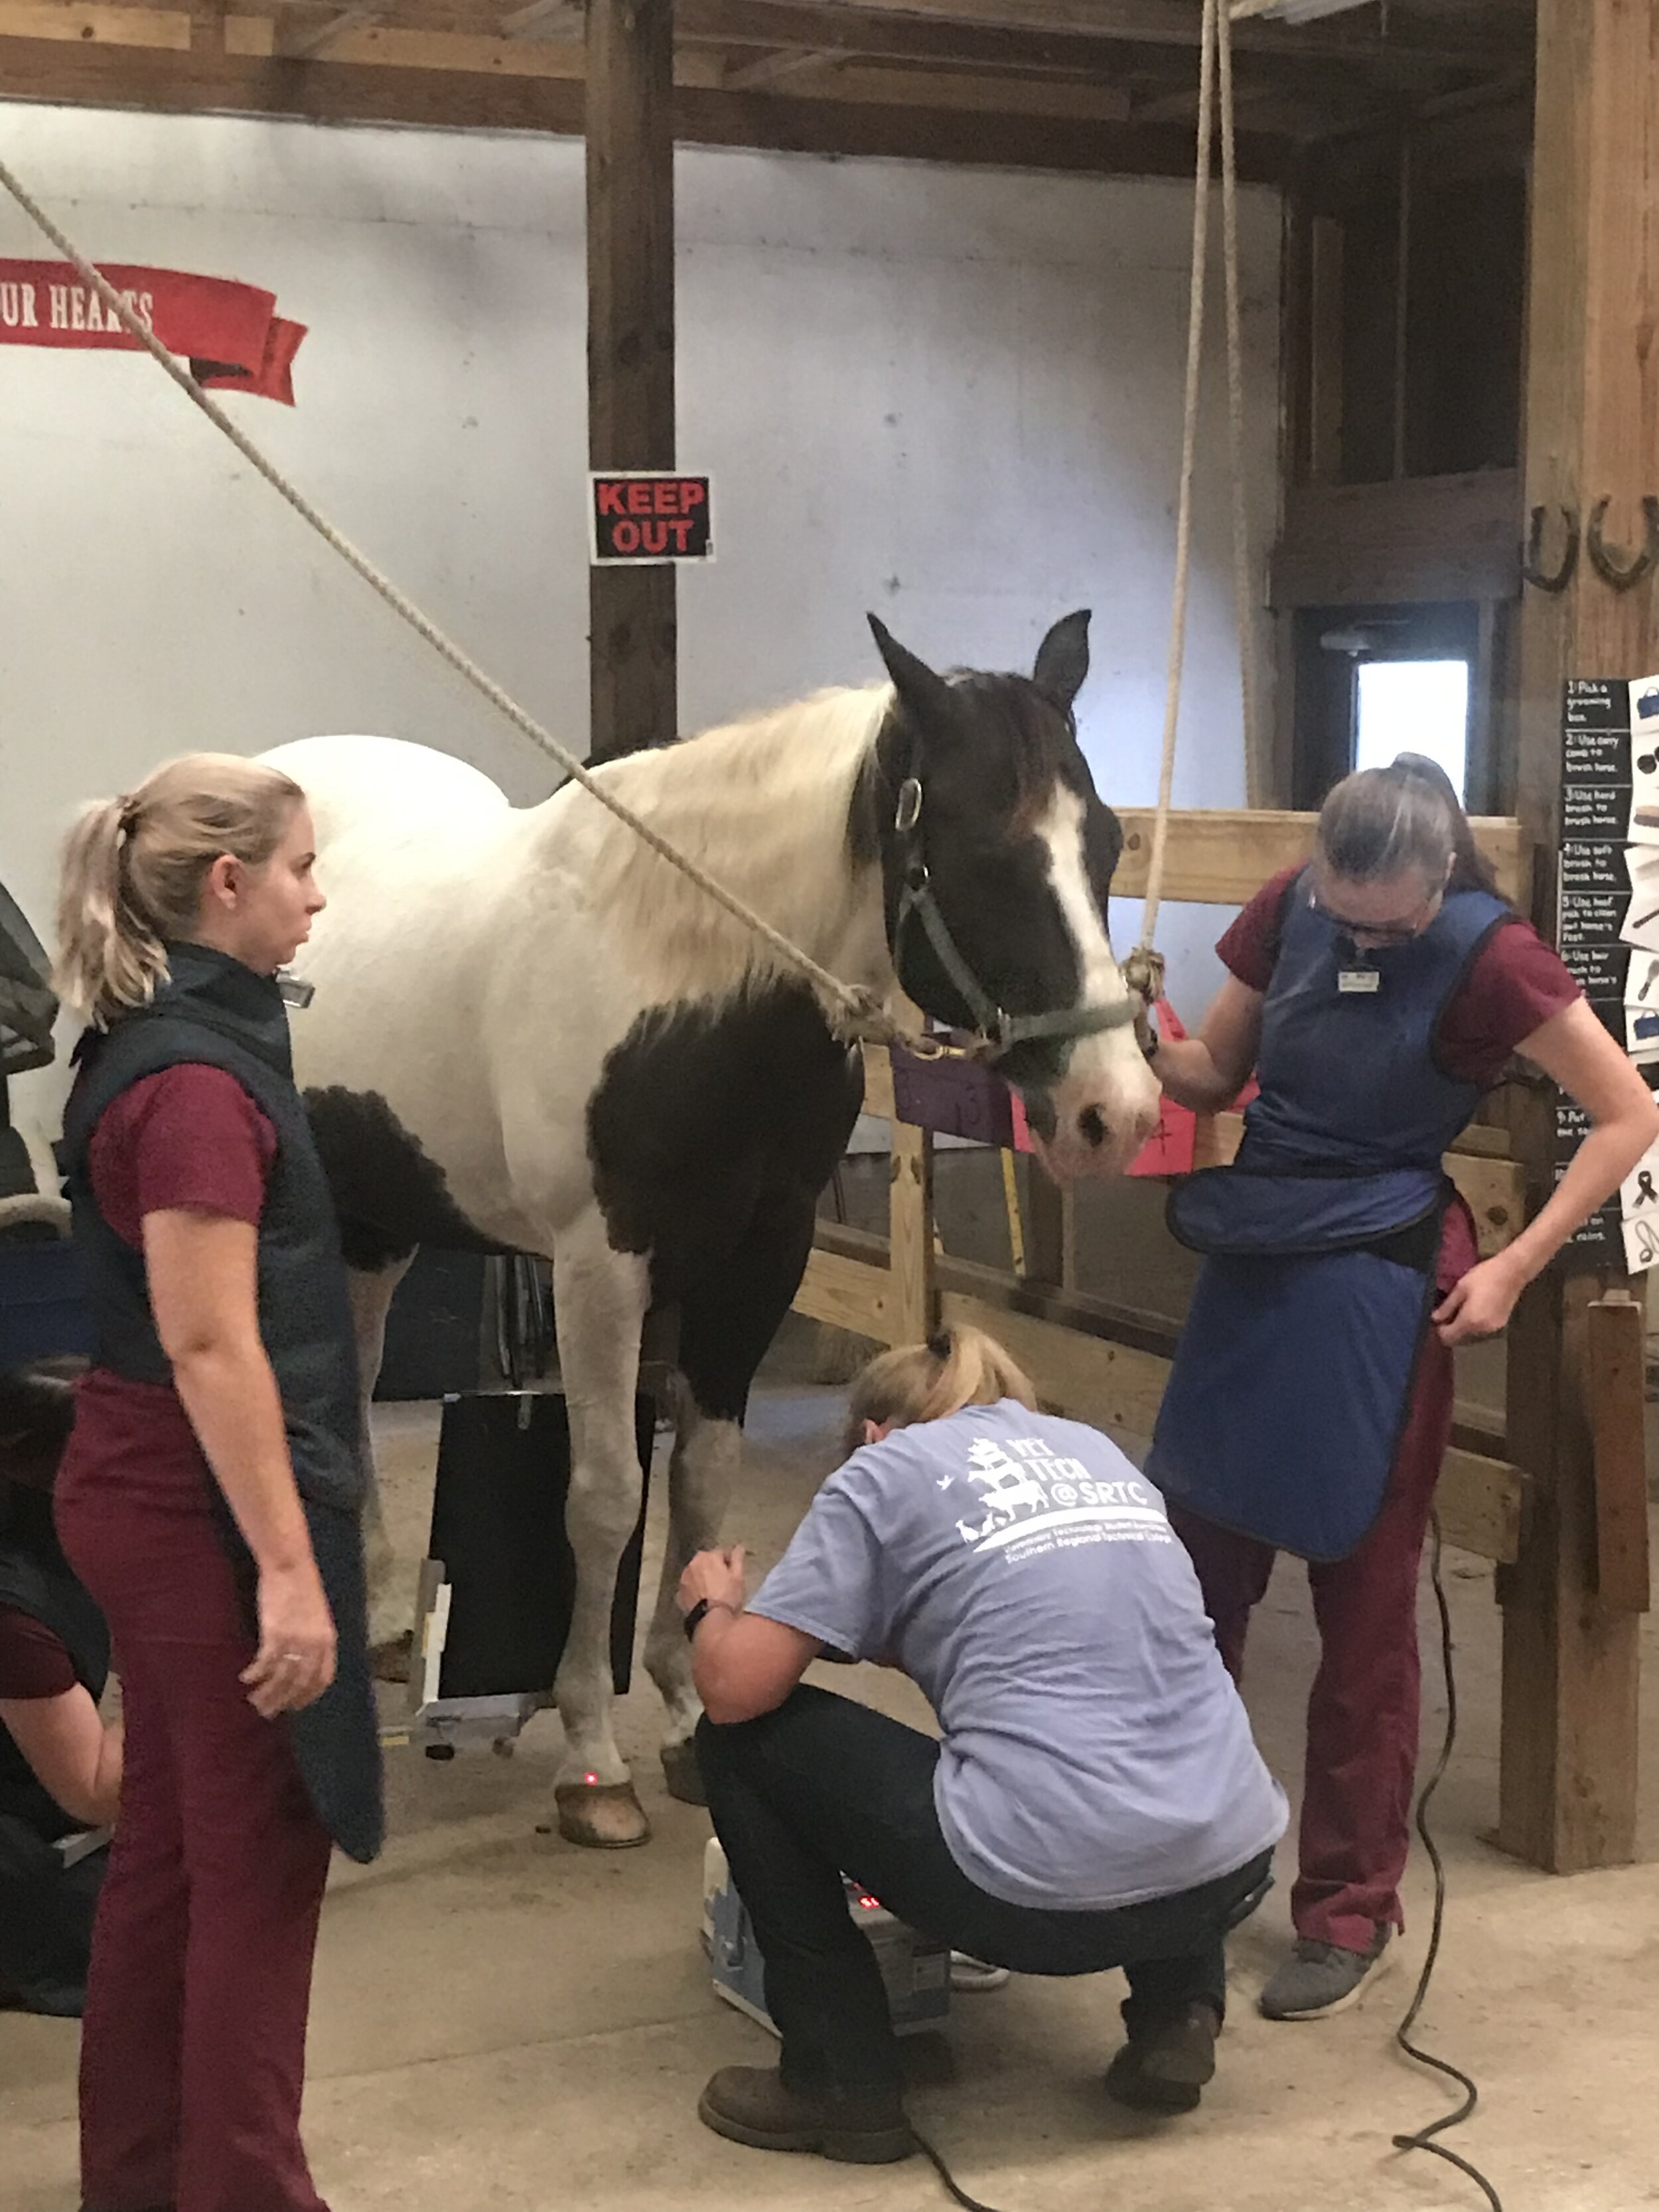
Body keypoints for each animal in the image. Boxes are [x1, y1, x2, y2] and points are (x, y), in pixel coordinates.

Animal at [264, 610, 1161, 1849]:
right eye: (988, 854)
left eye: (1107, 843)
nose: (1115, 1111)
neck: (680, 986)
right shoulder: (600, 1268)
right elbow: (606, 1498)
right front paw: (593, 1757)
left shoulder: (758, 1262)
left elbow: (702, 1478)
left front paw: (689, 1707)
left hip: (375, 1222)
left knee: (351, 1389)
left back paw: (393, 1616)